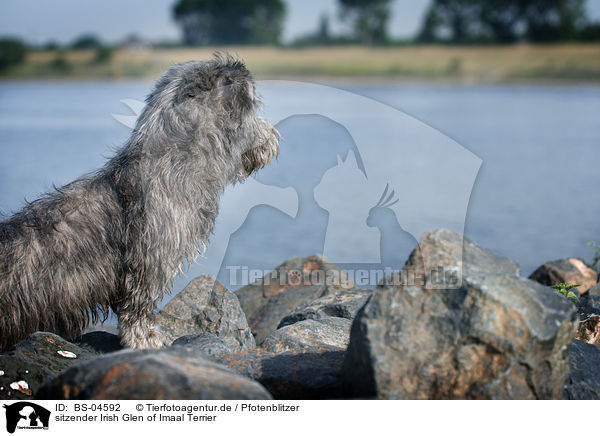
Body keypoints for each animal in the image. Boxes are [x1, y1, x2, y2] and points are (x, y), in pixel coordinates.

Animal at [0, 52, 280, 350]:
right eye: (254, 109)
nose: (273, 137)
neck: (172, 163)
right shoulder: (149, 260)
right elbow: (138, 304)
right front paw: (144, 339)